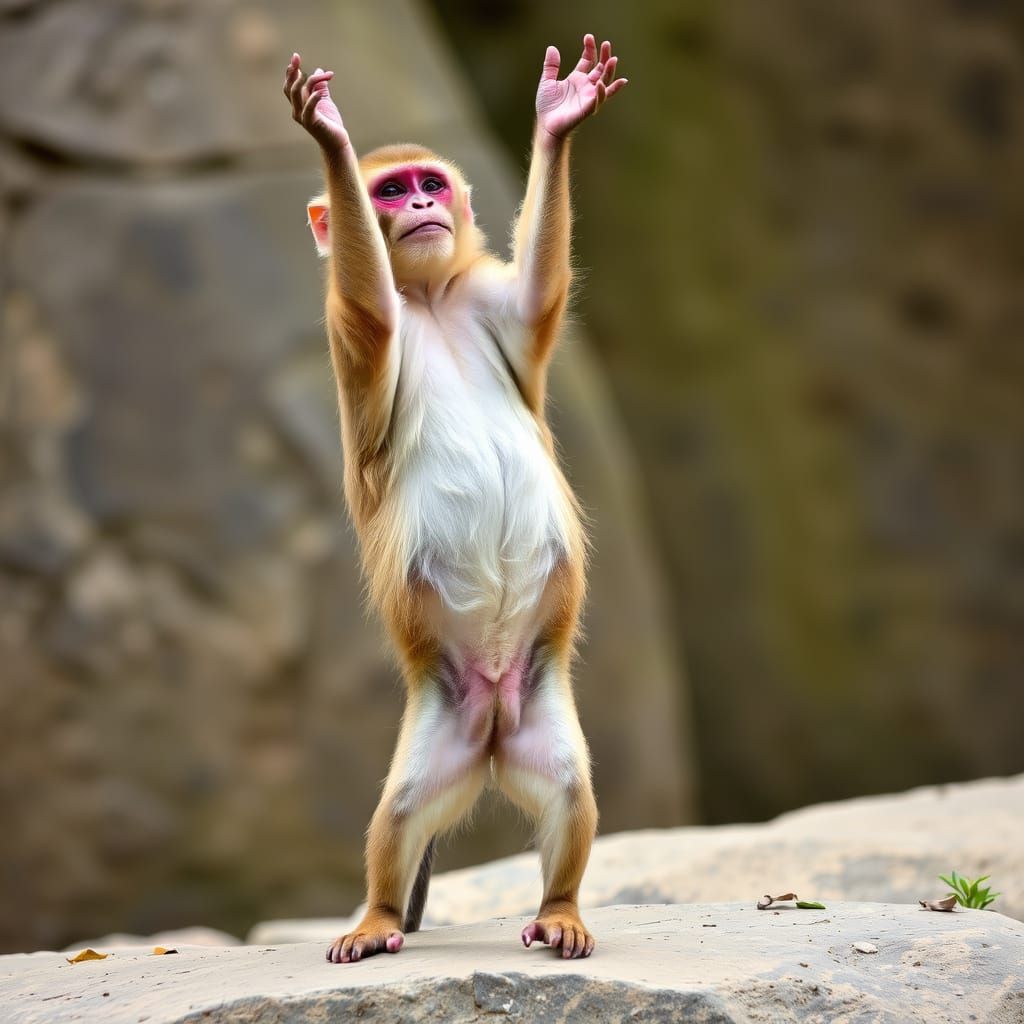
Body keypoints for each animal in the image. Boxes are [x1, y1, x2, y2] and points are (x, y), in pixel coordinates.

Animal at [283, 34, 627, 963]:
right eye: (387, 191)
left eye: (430, 184)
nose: (419, 207)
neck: (433, 300)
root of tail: (493, 726)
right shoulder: (360, 332)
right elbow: (367, 301)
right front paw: (327, 134)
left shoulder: (489, 303)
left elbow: (539, 291)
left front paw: (558, 116)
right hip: (442, 720)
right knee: (400, 813)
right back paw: (376, 917)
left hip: (540, 704)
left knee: (570, 792)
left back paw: (562, 907)